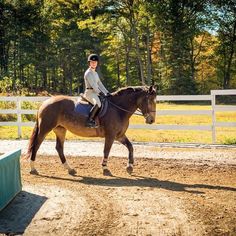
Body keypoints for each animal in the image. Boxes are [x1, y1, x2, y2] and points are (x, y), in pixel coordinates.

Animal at [26, 85, 157, 175]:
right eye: (150, 100)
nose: (151, 120)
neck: (118, 109)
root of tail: (45, 102)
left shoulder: (119, 135)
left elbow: (130, 147)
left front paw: (130, 166)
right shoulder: (110, 135)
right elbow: (106, 151)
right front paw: (105, 168)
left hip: (60, 130)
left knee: (59, 148)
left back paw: (70, 169)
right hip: (45, 129)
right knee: (36, 145)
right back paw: (33, 168)